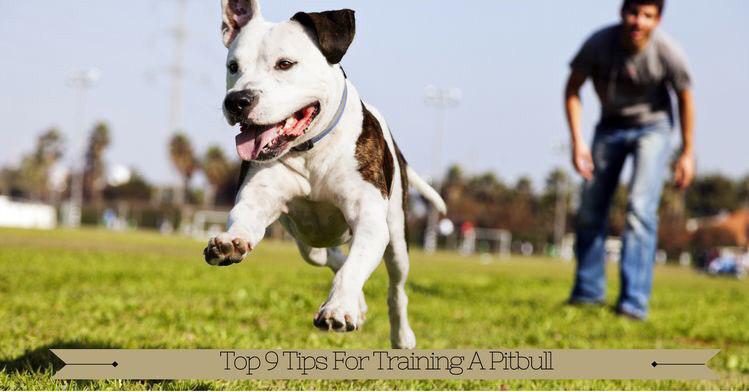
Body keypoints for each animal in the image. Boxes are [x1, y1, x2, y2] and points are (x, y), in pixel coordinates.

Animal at [203, 0, 444, 350]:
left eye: (285, 64)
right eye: (233, 66)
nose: (237, 100)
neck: (309, 151)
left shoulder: (370, 221)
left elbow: (354, 267)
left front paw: (338, 308)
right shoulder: (257, 199)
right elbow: (245, 219)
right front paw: (231, 242)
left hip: (397, 237)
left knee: (395, 288)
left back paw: (401, 335)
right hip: (309, 243)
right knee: (330, 257)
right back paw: (359, 304)